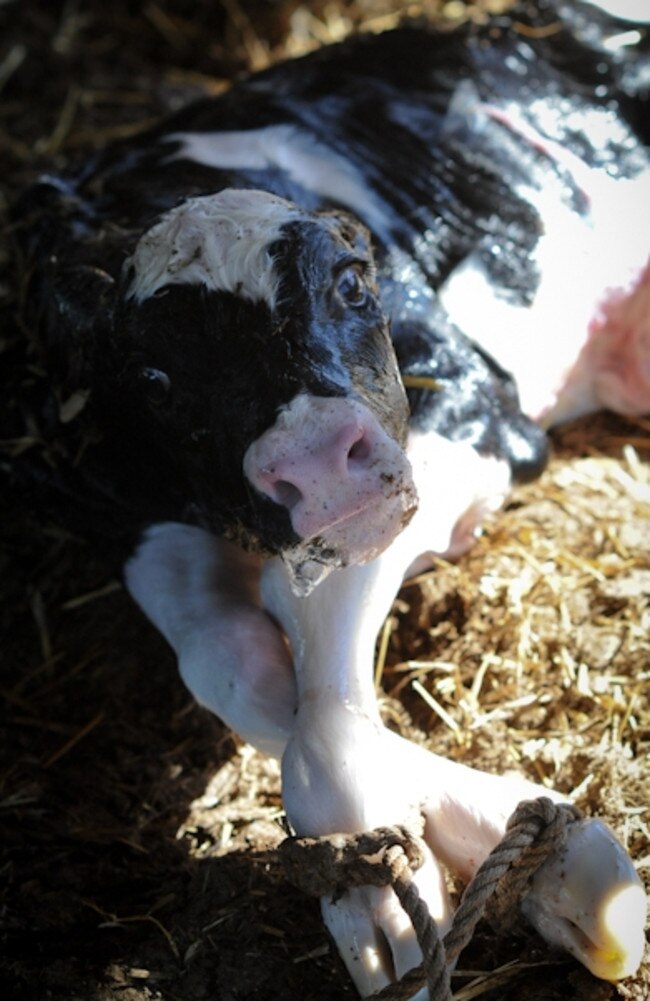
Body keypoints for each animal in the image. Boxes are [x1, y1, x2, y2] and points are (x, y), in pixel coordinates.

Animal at [12, 1, 644, 992]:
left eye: (350, 286)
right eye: (153, 377)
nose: (314, 461)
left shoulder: (465, 405)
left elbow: (302, 612)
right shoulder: (110, 503)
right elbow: (227, 656)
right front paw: (398, 868)